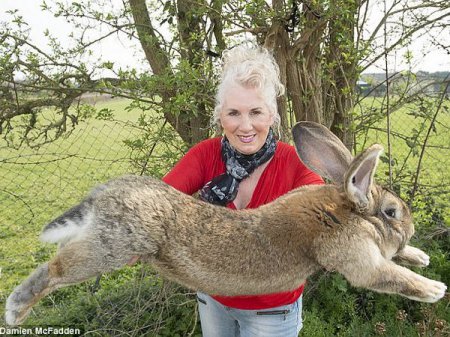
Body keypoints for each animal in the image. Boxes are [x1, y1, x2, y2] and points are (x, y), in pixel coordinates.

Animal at [6, 122, 446, 324]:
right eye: (392, 212)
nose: (410, 228)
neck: (342, 210)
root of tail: (102, 196)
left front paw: (420, 256)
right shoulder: (357, 258)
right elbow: (389, 276)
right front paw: (434, 288)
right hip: (111, 248)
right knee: (55, 269)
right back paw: (15, 311)